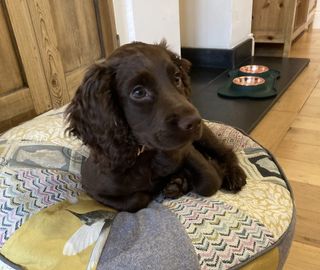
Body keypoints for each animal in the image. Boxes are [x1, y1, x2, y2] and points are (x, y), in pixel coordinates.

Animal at [64, 41, 245, 212]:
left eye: (177, 78)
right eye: (138, 92)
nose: (195, 121)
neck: (147, 154)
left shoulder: (186, 149)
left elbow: (209, 181)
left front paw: (214, 169)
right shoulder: (93, 186)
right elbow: (136, 200)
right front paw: (170, 183)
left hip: (205, 136)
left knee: (225, 151)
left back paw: (234, 175)